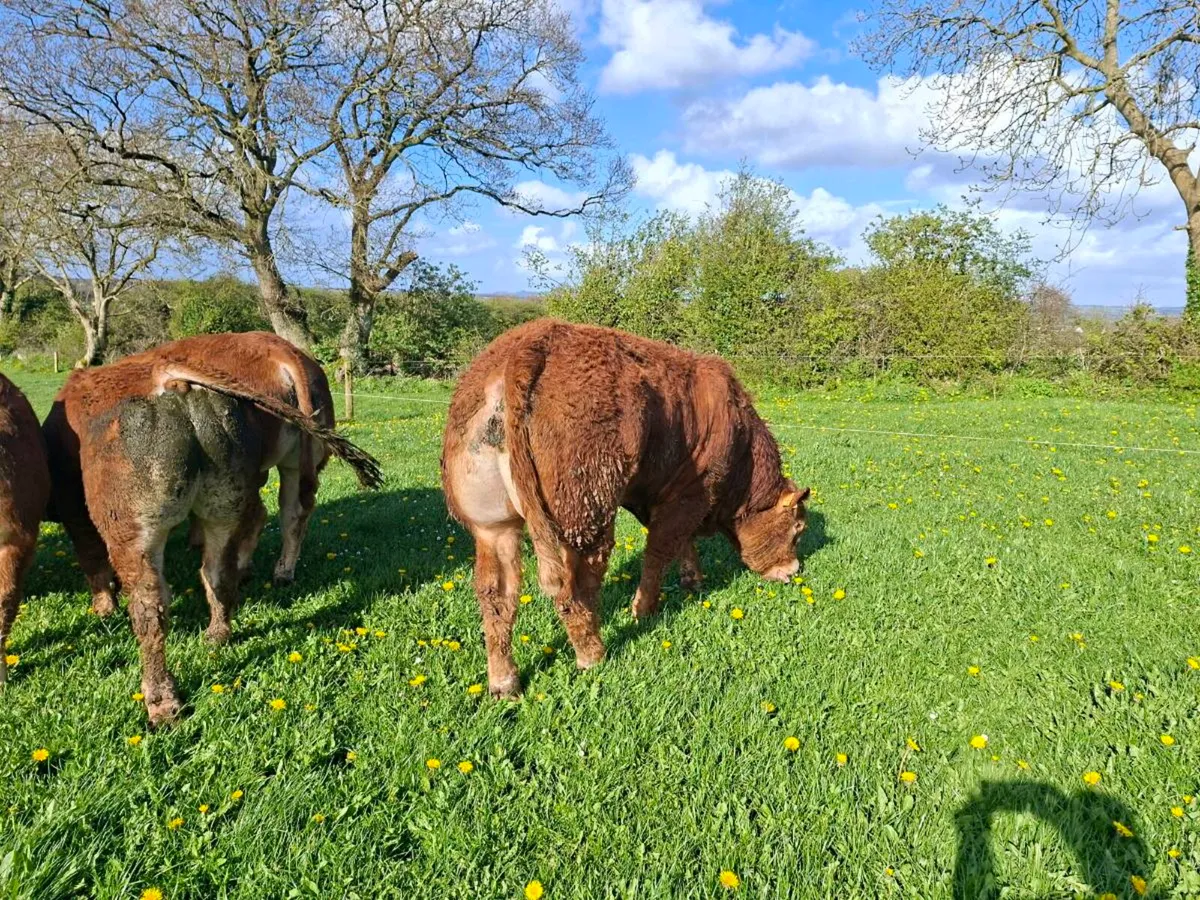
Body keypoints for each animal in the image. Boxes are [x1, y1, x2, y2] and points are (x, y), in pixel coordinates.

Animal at [42, 333, 383, 725]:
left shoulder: (75, 511)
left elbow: (91, 558)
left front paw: (102, 607)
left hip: (133, 528)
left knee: (150, 606)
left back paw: (161, 700)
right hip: (276, 472)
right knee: (266, 531)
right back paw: (249, 599)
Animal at [441, 320, 811, 698]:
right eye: (798, 530)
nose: (793, 571)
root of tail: (529, 340)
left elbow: (684, 543)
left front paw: (692, 579)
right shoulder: (691, 493)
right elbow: (659, 552)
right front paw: (644, 610)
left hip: (493, 527)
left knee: (497, 596)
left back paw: (504, 682)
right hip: (585, 515)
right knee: (575, 589)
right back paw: (593, 655)